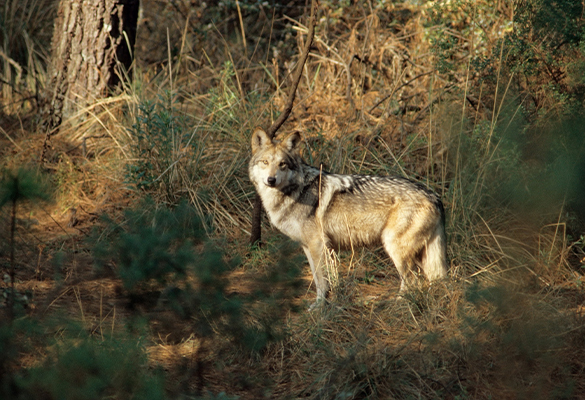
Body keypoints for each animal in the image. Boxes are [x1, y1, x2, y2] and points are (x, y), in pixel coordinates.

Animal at [248, 128, 448, 306]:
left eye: (282, 164)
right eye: (265, 162)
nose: (271, 180)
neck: (295, 191)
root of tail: (434, 196)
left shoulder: (317, 244)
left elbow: (322, 281)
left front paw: (320, 307)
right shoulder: (310, 247)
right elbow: (321, 279)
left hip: (394, 248)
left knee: (414, 281)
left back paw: (398, 305)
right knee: (431, 279)